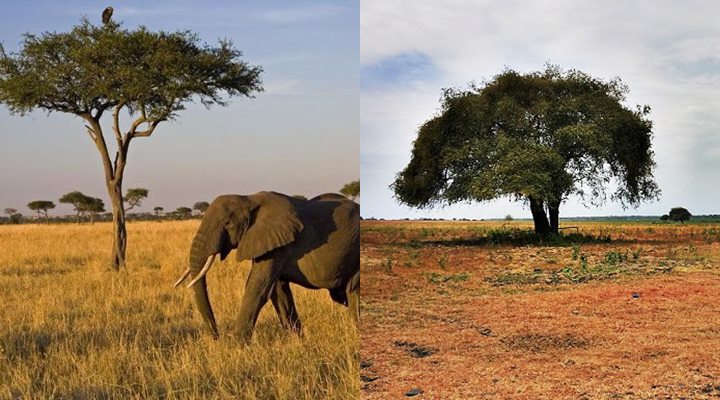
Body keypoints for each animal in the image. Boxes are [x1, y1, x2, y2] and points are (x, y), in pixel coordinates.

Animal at [172, 191, 358, 340]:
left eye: (227, 223)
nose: (216, 337)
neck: (247, 199)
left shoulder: (276, 245)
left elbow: (256, 288)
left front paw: (233, 346)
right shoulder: (269, 243)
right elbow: (278, 292)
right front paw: (297, 342)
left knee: (352, 291)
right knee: (342, 294)